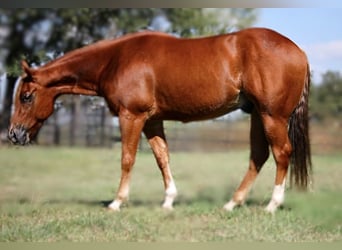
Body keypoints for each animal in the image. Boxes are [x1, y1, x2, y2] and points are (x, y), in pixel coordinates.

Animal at [9, 28, 312, 212]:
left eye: (26, 96)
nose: (14, 134)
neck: (115, 59)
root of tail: (299, 51)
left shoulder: (132, 116)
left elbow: (127, 158)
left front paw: (117, 202)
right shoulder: (152, 120)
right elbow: (162, 158)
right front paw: (168, 201)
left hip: (272, 116)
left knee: (281, 153)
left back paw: (272, 205)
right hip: (257, 116)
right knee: (258, 157)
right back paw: (232, 204)